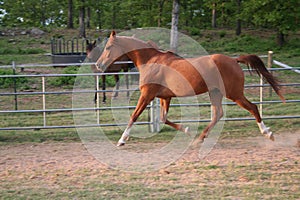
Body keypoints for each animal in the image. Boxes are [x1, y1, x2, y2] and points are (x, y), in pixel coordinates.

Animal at [96, 31, 286, 147]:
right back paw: (199, 138)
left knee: (253, 107)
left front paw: (121, 140)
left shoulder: (147, 95)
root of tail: (234, 60)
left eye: (108, 47)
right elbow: (163, 119)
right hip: (215, 93)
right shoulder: (165, 97)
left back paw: (268, 133)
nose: (98, 65)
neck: (151, 61)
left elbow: (134, 116)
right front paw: (187, 131)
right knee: (218, 114)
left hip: (234, 94)